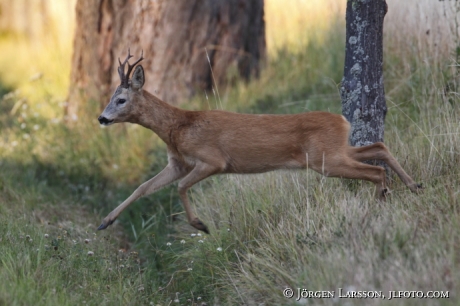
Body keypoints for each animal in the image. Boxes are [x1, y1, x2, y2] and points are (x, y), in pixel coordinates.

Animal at [98, 50, 424, 233]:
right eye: (111, 98)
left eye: (121, 99)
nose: (101, 118)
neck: (178, 127)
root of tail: (343, 121)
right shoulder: (178, 163)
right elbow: (143, 187)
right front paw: (106, 221)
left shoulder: (212, 160)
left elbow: (180, 188)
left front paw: (200, 225)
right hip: (334, 152)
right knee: (379, 147)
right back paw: (413, 185)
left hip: (326, 160)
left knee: (375, 169)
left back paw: (383, 203)